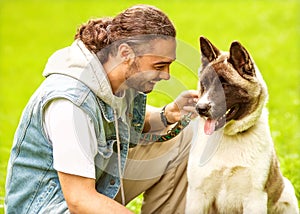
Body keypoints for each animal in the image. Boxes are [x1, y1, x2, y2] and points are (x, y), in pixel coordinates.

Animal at [186, 36, 298, 213]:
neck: (228, 137)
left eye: (225, 85)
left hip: (287, 195)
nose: (200, 108)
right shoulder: (198, 195)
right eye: (204, 84)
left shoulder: (254, 198)